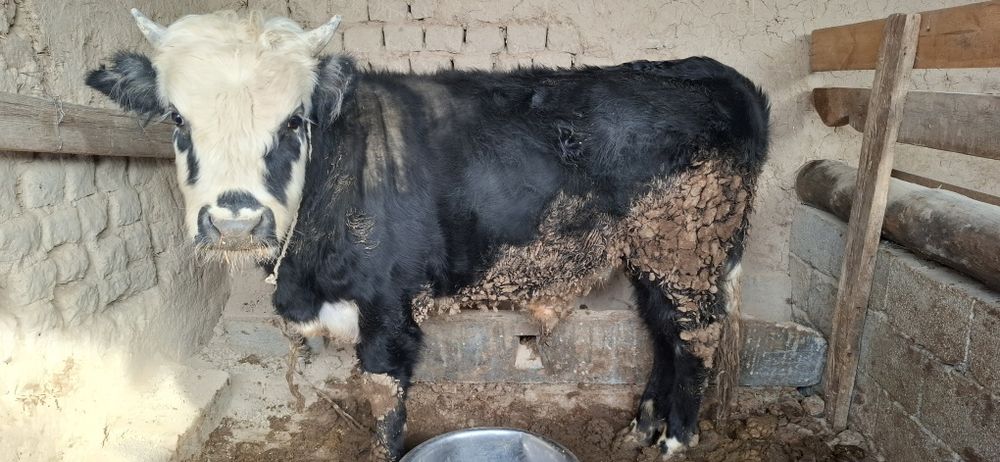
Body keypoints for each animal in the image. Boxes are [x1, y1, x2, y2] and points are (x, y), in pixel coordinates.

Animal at [86, 9, 769, 461]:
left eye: (294, 121)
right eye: (178, 119)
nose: (236, 222)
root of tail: (711, 73)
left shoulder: (387, 309)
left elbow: (385, 402)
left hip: (687, 252)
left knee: (694, 338)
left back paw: (676, 437)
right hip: (656, 256)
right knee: (662, 330)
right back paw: (641, 428)